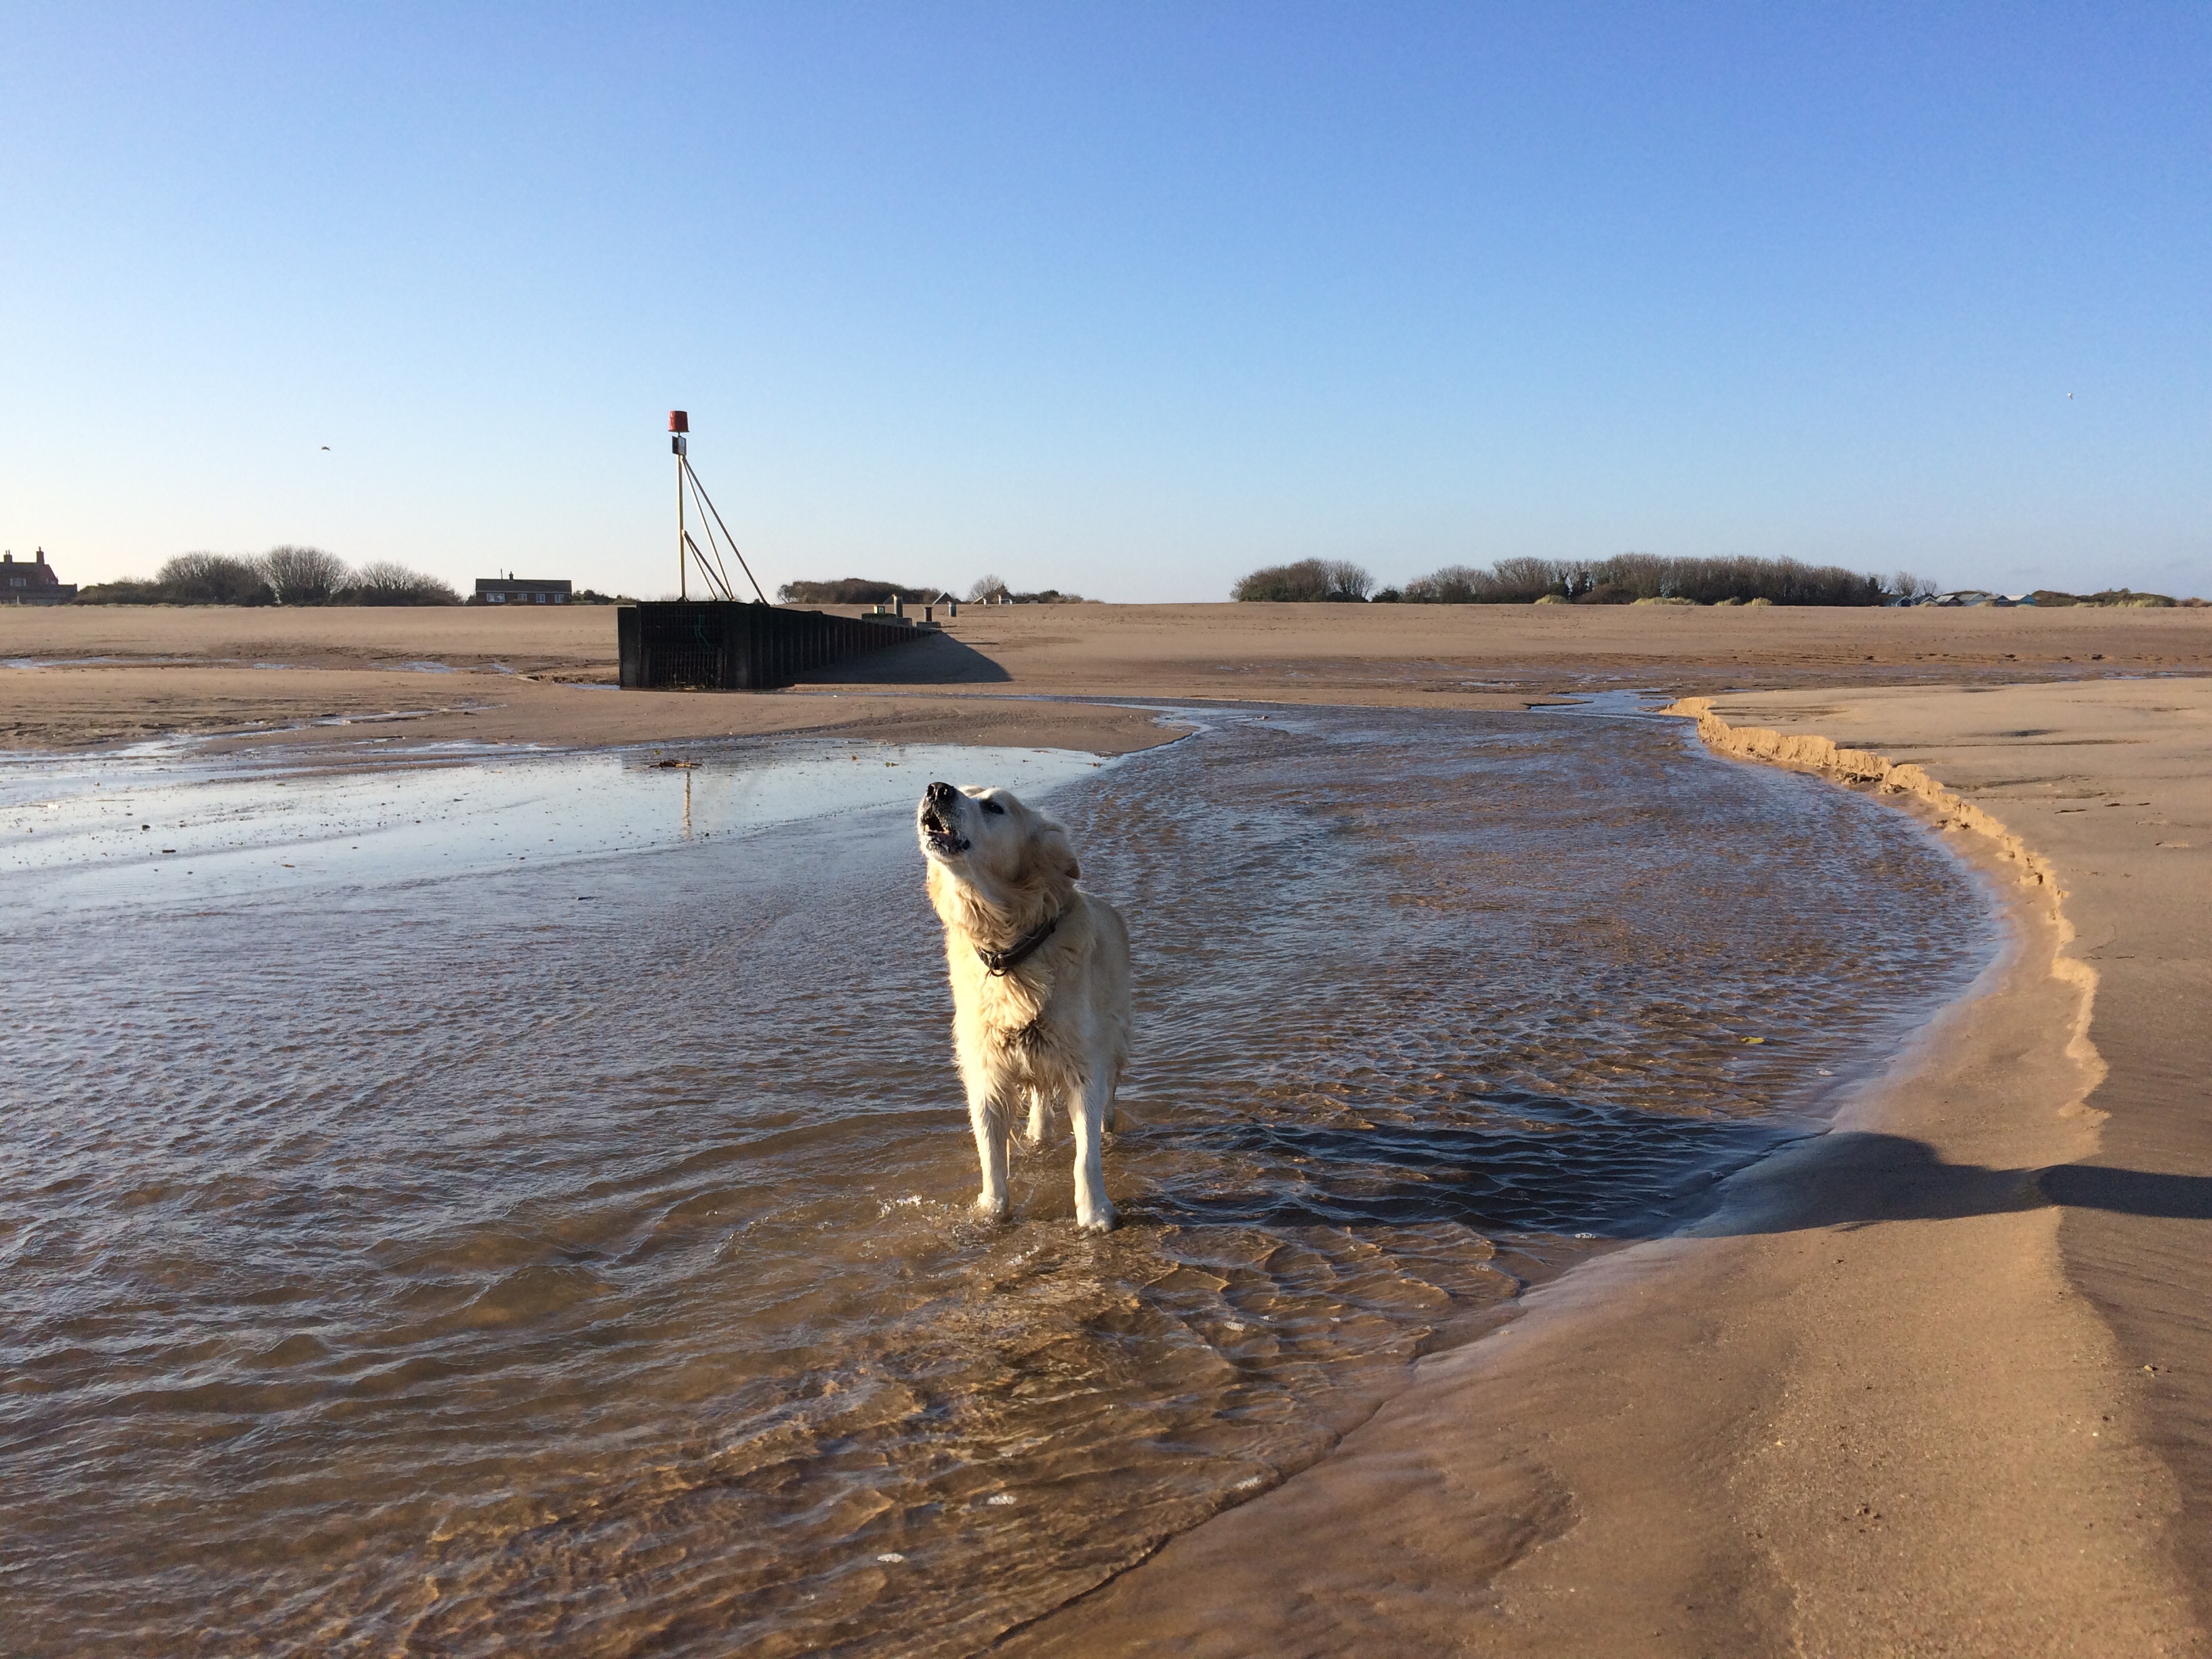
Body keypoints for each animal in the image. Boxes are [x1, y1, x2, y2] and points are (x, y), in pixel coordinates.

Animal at [916, 780, 1131, 1232]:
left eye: (995, 807)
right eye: (963, 790)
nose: (937, 789)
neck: (1010, 953)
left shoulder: (1083, 1063)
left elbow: (1086, 1154)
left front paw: (1094, 1213)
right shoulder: (985, 1069)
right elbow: (990, 1153)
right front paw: (991, 1211)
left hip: (1115, 1035)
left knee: (1109, 1101)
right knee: (1040, 1103)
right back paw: (1037, 1135)